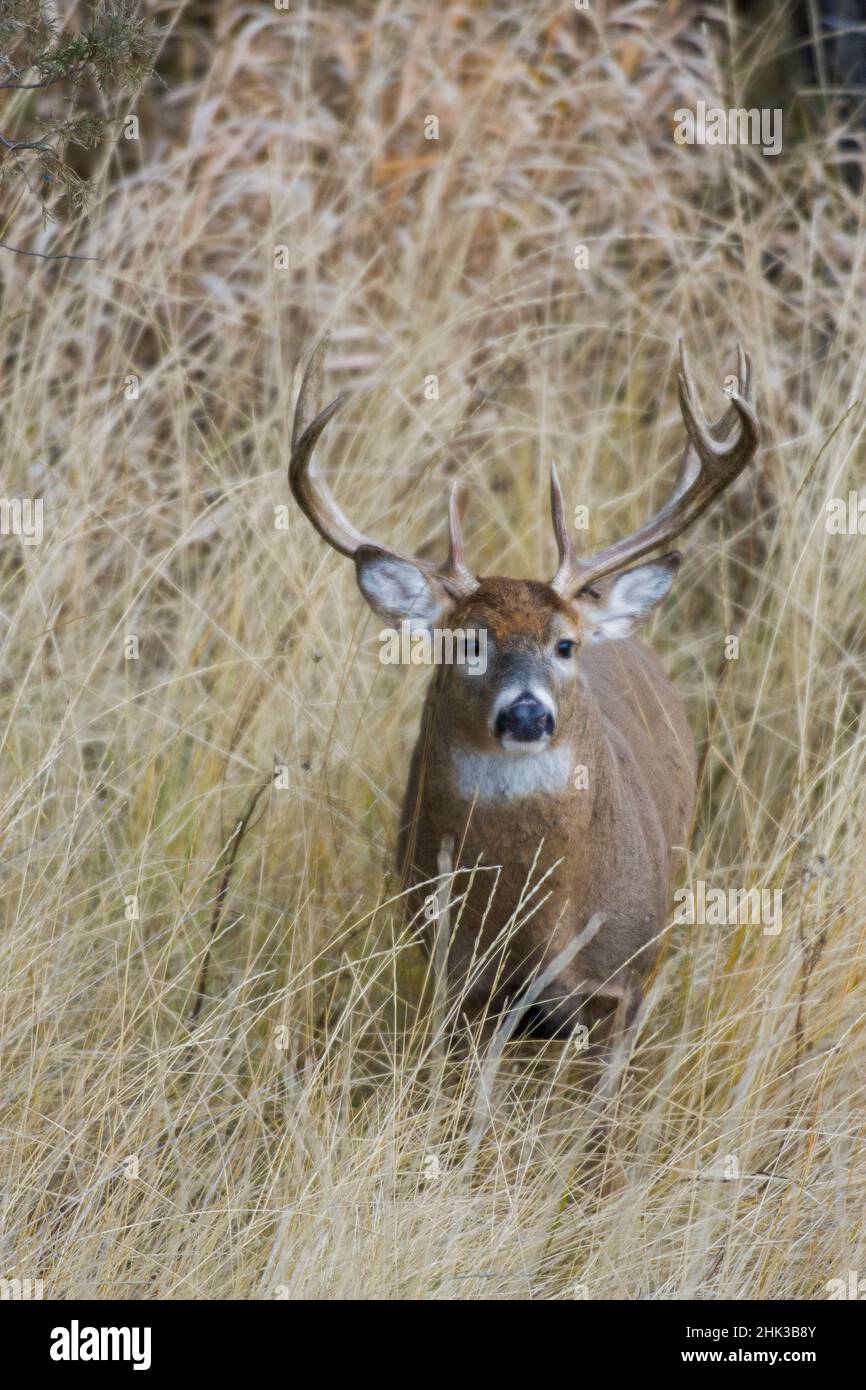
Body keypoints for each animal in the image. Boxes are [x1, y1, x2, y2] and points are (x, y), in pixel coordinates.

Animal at [289, 341, 759, 1054]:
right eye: (466, 644)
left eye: (564, 644)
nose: (528, 712)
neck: (541, 931)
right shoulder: (463, 984)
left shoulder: (627, 983)